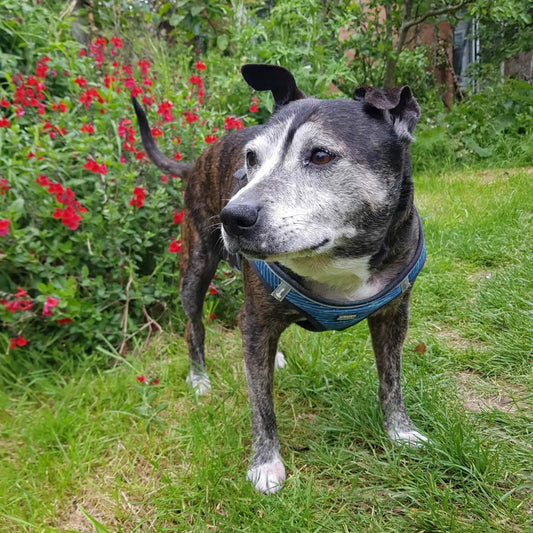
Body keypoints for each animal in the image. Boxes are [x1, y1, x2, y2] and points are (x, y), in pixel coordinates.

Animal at [131, 63, 426, 494]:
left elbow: (392, 378)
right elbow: (261, 402)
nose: (232, 217)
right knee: (194, 326)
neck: (334, 260)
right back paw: (199, 377)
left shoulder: (393, 316)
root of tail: (198, 158)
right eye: (251, 158)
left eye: (320, 155)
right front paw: (265, 463)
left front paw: (399, 431)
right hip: (195, 269)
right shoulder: (254, 320)